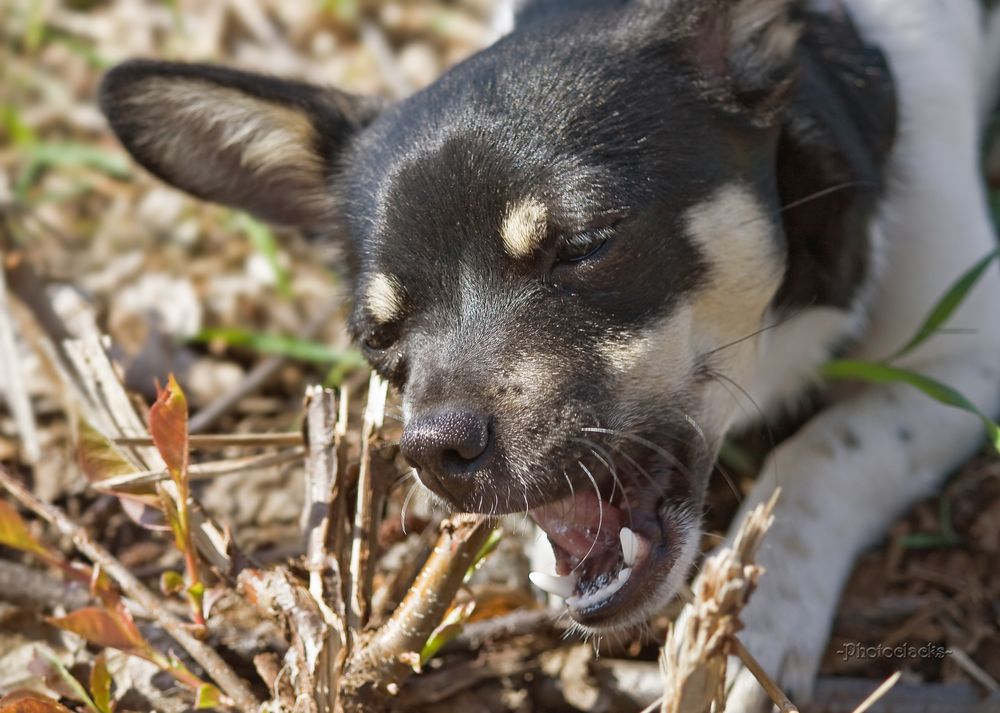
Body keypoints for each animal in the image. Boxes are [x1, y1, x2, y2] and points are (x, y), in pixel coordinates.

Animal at [97, 0, 1000, 708]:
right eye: (378, 337)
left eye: (586, 245)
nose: (432, 450)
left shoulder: (967, 369)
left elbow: (821, 453)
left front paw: (767, 611)